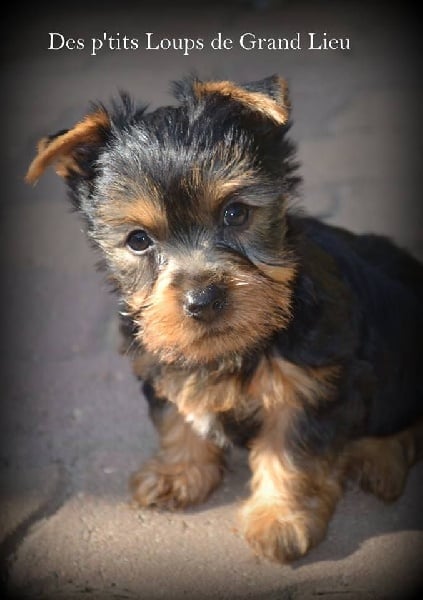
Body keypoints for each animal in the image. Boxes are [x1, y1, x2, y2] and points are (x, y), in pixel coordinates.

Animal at [26, 75, 423, 563]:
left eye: (235, 212)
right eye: (138, 240)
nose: (203, 299)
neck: (235, 348)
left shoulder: (311, 385)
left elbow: (291, 453)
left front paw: (280, 519)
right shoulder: (162, 357)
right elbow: (178, 415)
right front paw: (179, 472)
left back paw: (380, 459)